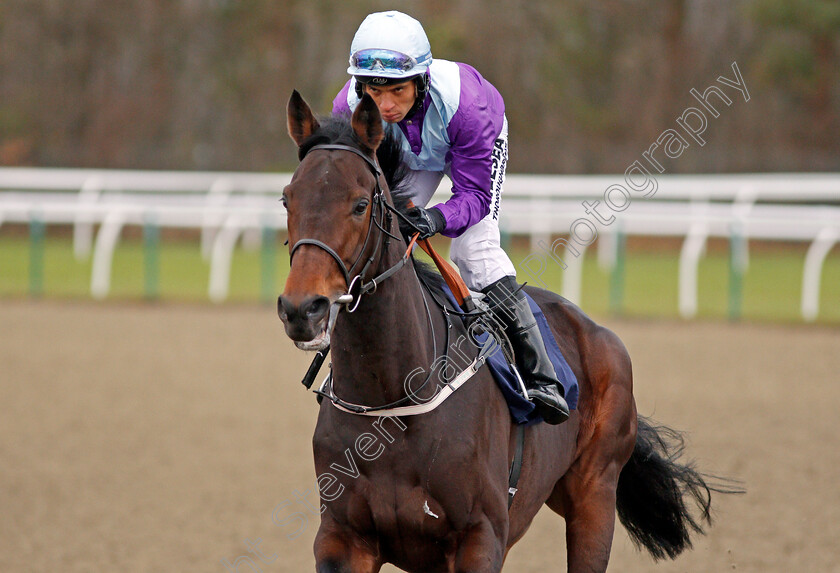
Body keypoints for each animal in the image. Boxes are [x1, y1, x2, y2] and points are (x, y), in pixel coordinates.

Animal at [278, 91, 732, 568]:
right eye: (288, 199)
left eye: (360, 204)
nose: (302, 308)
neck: (394, 401)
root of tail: (598, 332)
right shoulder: (344, 538)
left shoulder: (479, 538)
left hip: (594, 495)